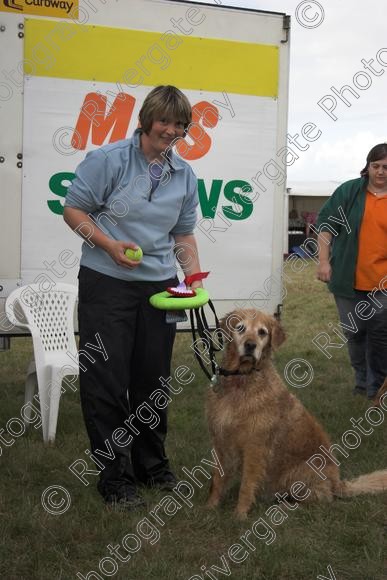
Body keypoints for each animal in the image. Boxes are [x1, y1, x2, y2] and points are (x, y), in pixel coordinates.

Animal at [208, 310, 387, 520]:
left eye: (262, 332)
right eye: (240, 328)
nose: (250, 345)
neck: (242, 378)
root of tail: (337, 482)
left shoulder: (255, 447)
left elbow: (246, 485)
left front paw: (240, 515)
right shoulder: (220, 440)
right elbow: (217, 479)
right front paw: (210, 508)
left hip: (299, 474)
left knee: (320, 501)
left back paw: (283, 507)